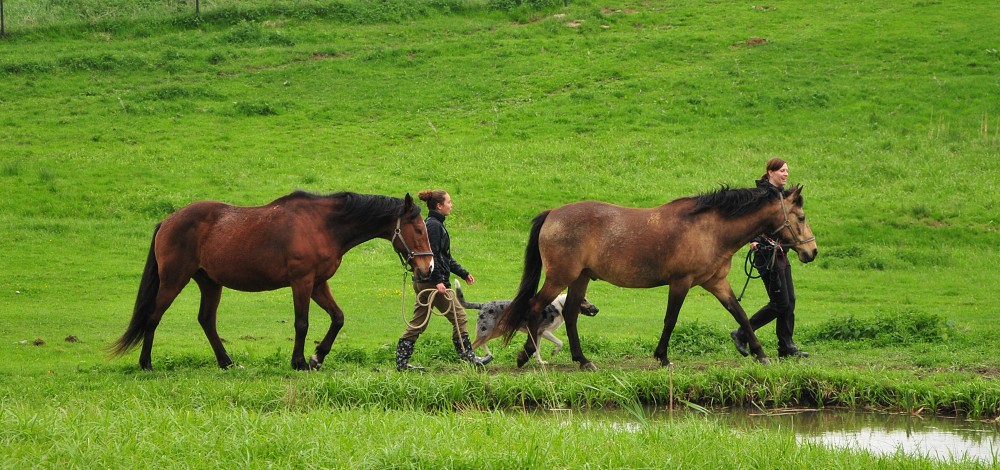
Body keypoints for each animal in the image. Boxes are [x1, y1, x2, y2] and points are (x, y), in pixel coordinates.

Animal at [109, 191, 434, 370]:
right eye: (418, 228)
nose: (428, 267)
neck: (323, 225)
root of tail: (168, 220)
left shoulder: (318, 284)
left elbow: (338, 318)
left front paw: (317, 357)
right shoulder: (302, 282)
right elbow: (302, 323)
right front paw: (300, 361)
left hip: (210, 283)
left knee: (206, 321)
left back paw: (227, 362)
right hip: (174, 279)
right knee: (153, 317)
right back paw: (146, 363)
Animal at [456, 280, 600, 366]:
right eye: (584, 300)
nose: (597, 309)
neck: (559, 306)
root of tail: (483, 305)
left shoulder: (539, 334)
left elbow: (537, 349)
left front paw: (541, 362)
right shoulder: (544, 331)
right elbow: (560, 342)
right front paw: (553, 352)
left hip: (495, 331)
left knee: (481, 343)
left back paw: (487, 356)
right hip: (487, 331)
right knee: (473, 345)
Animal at [480, 185, 816, 370]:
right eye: (800, 217)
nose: (811, 252)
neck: (709, 228)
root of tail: (552, 213)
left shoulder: (717, 283)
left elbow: (741, 315)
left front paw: (760, 354)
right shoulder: (681, 283)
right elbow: (670, 320)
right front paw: (663, 357)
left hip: (580, 279)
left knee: (572, 314)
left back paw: (582, 360)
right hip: (560, 277)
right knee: (535, 308)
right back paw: (528, 356)